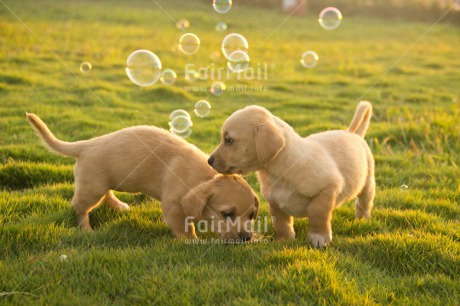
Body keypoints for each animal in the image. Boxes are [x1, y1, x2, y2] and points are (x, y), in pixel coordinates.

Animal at [27, 113, 258, 241]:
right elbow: (184, 227)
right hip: (91, 188)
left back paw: (119, 206)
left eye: (252, 215)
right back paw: (86, 230)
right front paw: (193, 240)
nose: (247, 238)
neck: (203, 177)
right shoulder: (173, 206)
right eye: (227, 214)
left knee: (106, 195)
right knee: (79, 208)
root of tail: (87, 145)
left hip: (101, 184)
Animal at [208, 101, 374, 247]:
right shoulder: (274, 203)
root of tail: (352, 133)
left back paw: (362, 221)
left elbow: (317, 213)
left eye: (228, 140)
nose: (209, 161)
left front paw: (318, 238)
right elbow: (281, 224)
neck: (277, 172)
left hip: (368, 184)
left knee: (363, 204)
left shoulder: (328, 188)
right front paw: (285, 241)